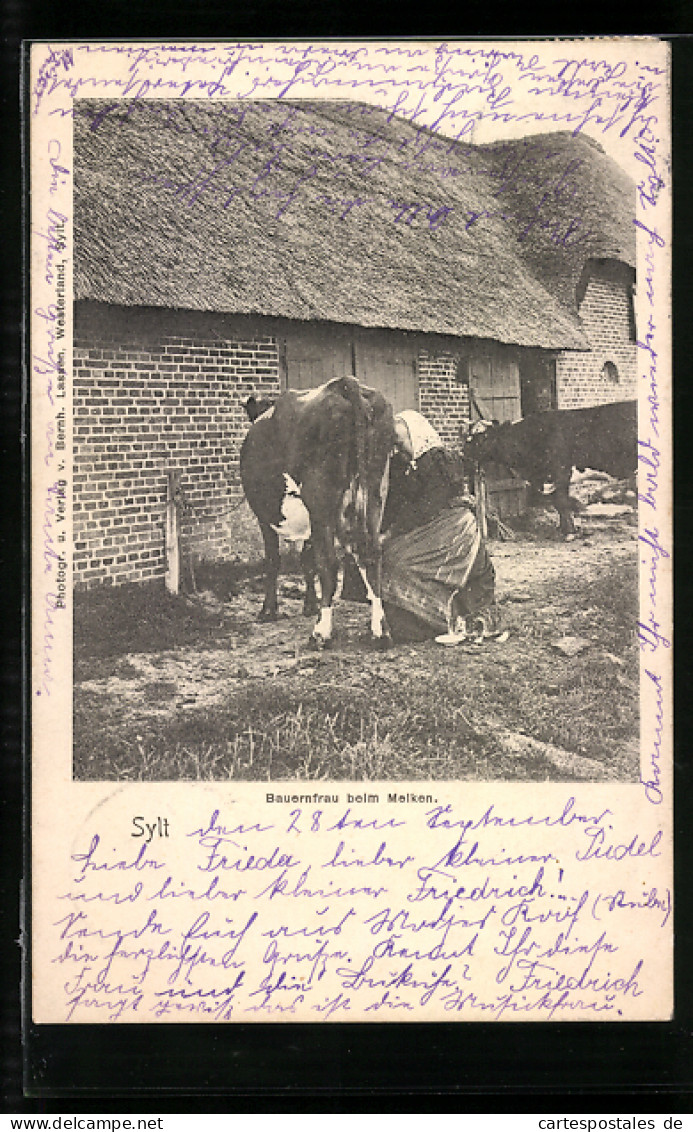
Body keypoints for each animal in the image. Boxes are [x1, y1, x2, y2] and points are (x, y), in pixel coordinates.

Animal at [241, 378, 403, 647]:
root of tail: (345, 384)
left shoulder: (264, 516)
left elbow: (274, 560)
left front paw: (268, 611)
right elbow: (306, 561)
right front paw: (309, 605)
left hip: (320, 499)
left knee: (329, 561)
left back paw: (320, 633)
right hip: (374, 491)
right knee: (371, 554)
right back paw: (381, 631)